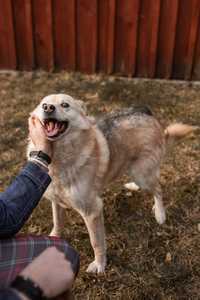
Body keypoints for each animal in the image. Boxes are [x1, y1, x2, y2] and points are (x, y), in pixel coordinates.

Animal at [27, 94, 198, 274]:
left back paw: (160, 213)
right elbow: (57, 222)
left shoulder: (92, 211)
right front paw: (52, 238)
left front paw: (100, 265)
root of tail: (145, 112)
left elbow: (96, 242)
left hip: (142, 174)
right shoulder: (56, 201)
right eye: (43, 104)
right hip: (135, 170)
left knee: (158, 189)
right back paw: (134, 187)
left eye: (65, 105)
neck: (59, 159)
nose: (48, 108)